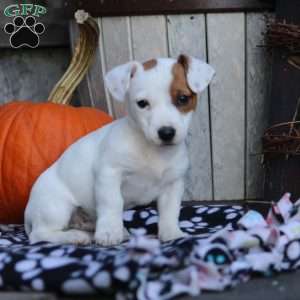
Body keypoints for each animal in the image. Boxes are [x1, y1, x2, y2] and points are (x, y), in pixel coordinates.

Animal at [24, 54, 214, 246]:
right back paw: (76, 236)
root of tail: (28, 212)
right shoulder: (109, 174)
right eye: (142, 103)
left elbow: (170, 211)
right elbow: (112, 203)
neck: (152, 150)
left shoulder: (172, 184)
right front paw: (109, 232)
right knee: (39, 235)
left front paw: (172, 233)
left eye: (183, 99)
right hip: (56, 207)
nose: (166, 133)